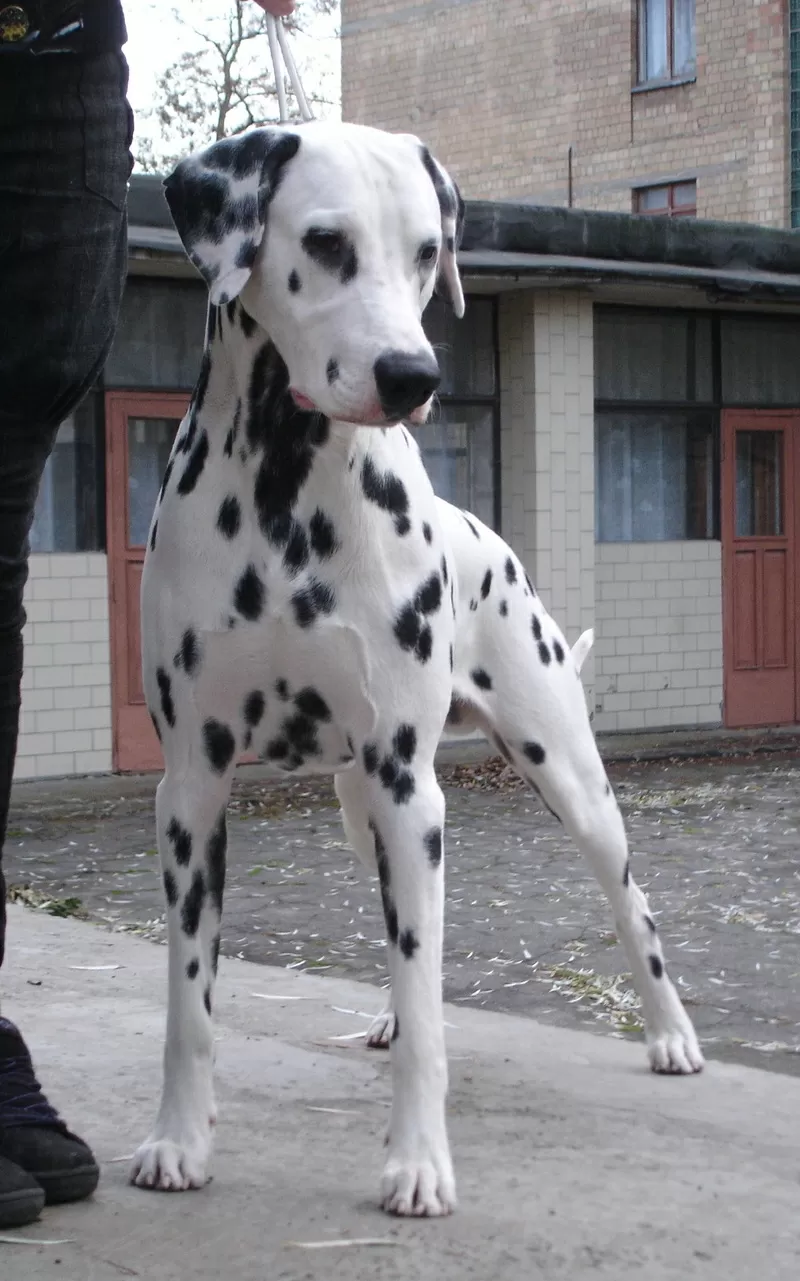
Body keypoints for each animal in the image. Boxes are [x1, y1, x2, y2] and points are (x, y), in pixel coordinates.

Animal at [129, 120, 696, 1219]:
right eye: (326, 242)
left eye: (429, 250)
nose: (411, 375)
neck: (286, 492)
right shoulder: (192, 788)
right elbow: (185, 1001)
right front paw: (179, 1139)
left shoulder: (406, 783)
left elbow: (428, 996)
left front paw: (418, 1163)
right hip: (365, 810)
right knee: (402, 929)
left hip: (560, 782)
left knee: (626, 903)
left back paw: (669, 1032)